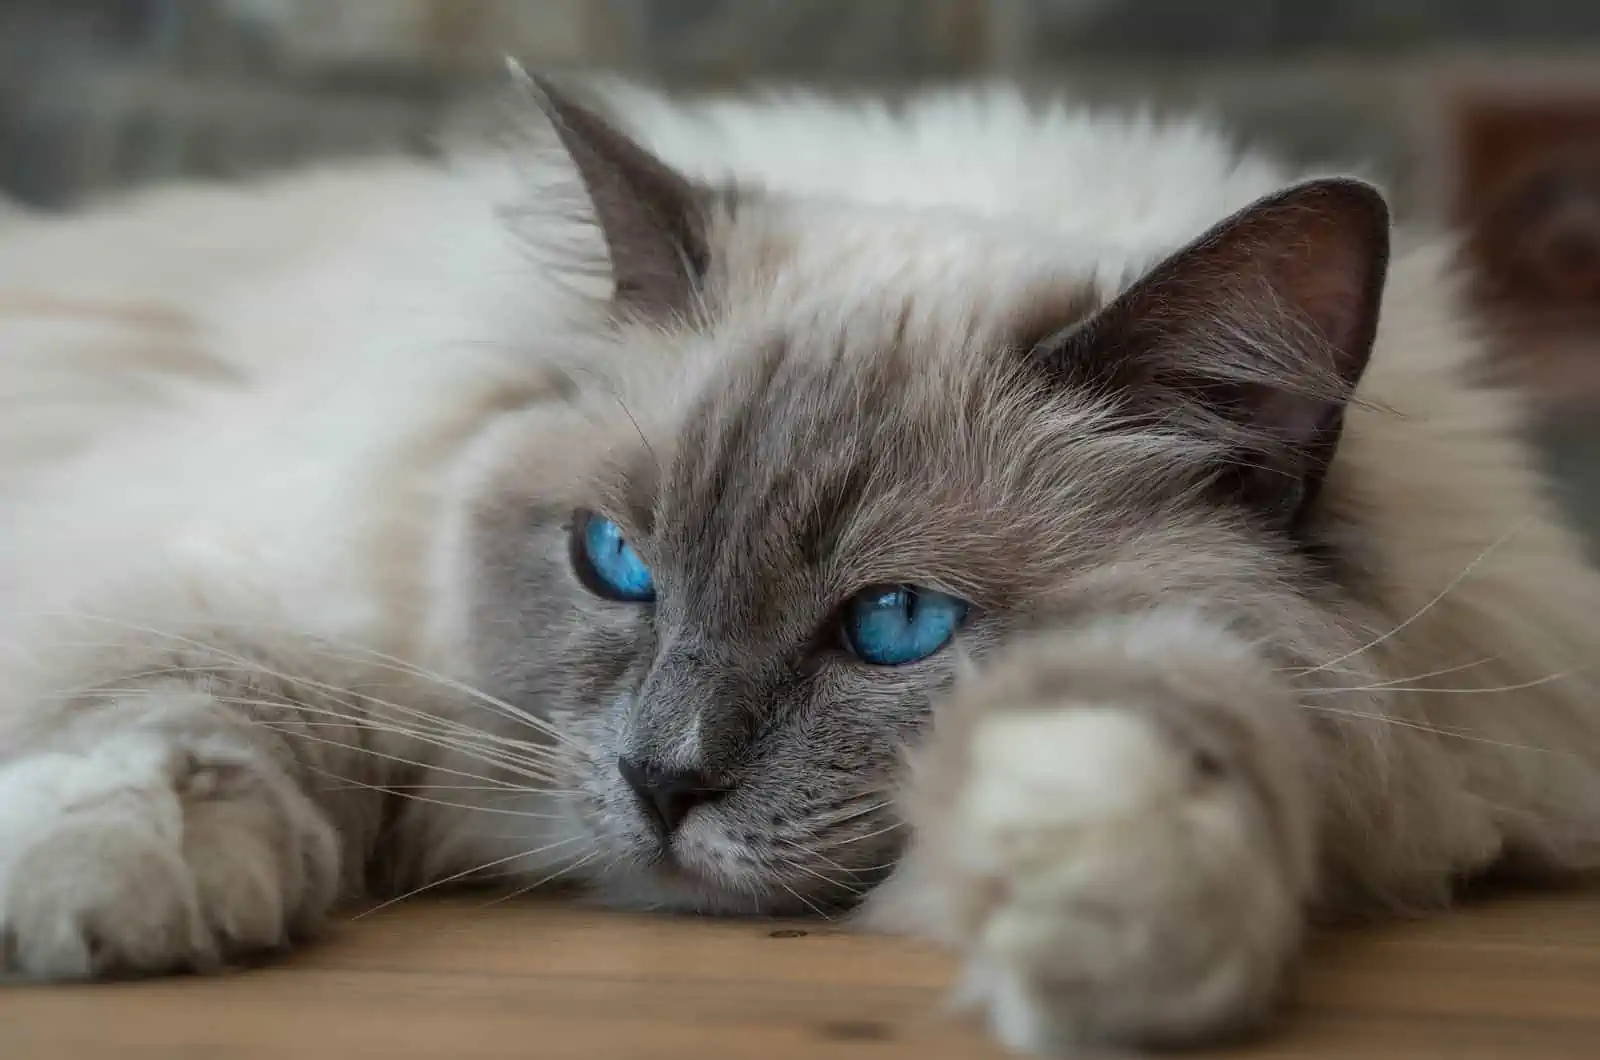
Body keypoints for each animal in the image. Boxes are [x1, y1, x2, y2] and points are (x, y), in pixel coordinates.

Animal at [3, 76, 1600, 1056]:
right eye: (615, 563)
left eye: (893, 625)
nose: (663, 782)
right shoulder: (290, 573)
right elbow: (197, 694)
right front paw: (109, 887)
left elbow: (1184, 720)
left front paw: (1095, 905)